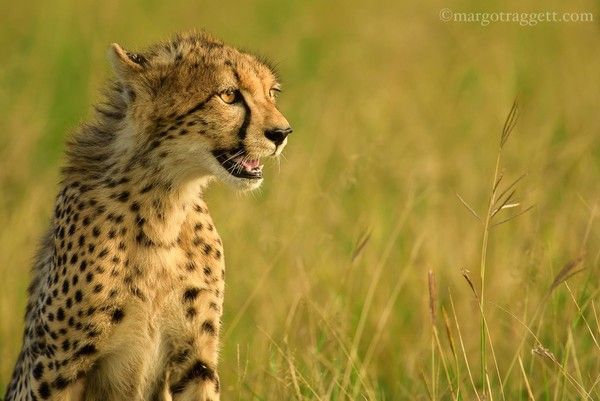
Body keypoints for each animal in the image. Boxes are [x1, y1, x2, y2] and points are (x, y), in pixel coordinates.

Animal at [3, 32, 292, 400]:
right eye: (229, 95)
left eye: (271, 93)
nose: (282, 133)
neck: (163, 208)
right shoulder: (57, 368)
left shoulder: (196, 357)